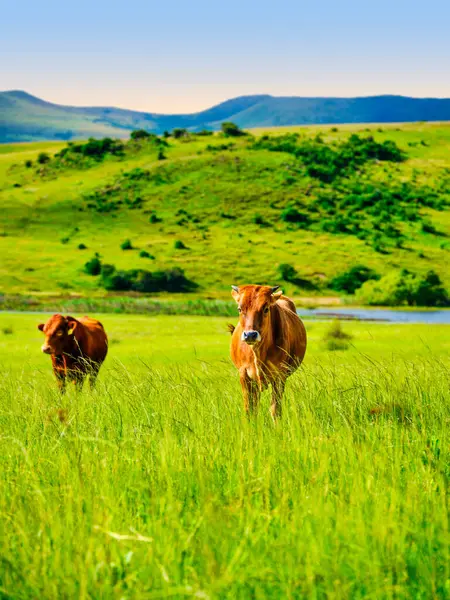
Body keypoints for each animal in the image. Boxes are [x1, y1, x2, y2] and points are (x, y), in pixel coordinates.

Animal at [230, 284, 308, 418]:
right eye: (239, 309)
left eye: (266, 308)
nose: (250, 335)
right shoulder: (244, 374)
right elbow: (249, 409)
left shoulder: (280, 375)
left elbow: (275, 409)